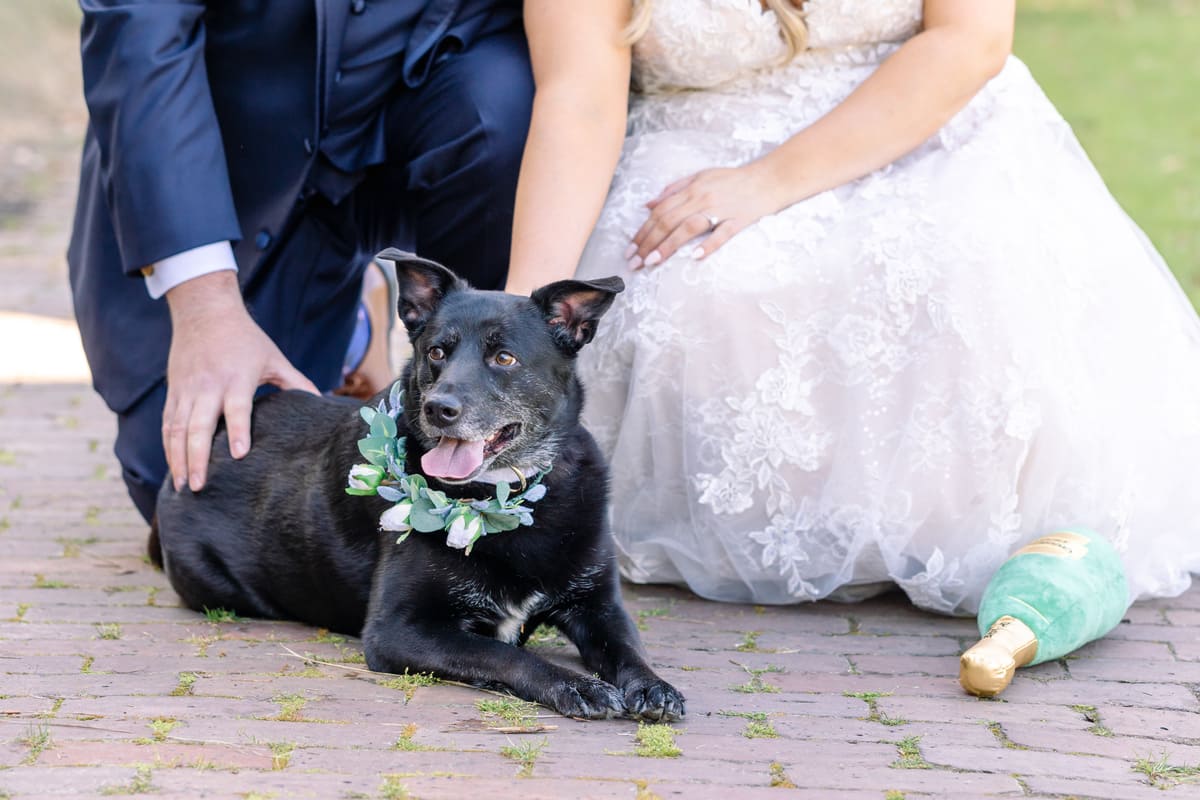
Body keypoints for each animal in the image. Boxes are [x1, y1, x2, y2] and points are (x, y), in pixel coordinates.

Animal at [152, 248, 686, 719]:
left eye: (505, 359)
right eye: (436, 352)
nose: (439, 408)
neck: (504, 501)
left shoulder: (598, 604)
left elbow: (630, 649)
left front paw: (653, 686)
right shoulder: (398, 630)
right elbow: (507, 654)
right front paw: (576, 685)